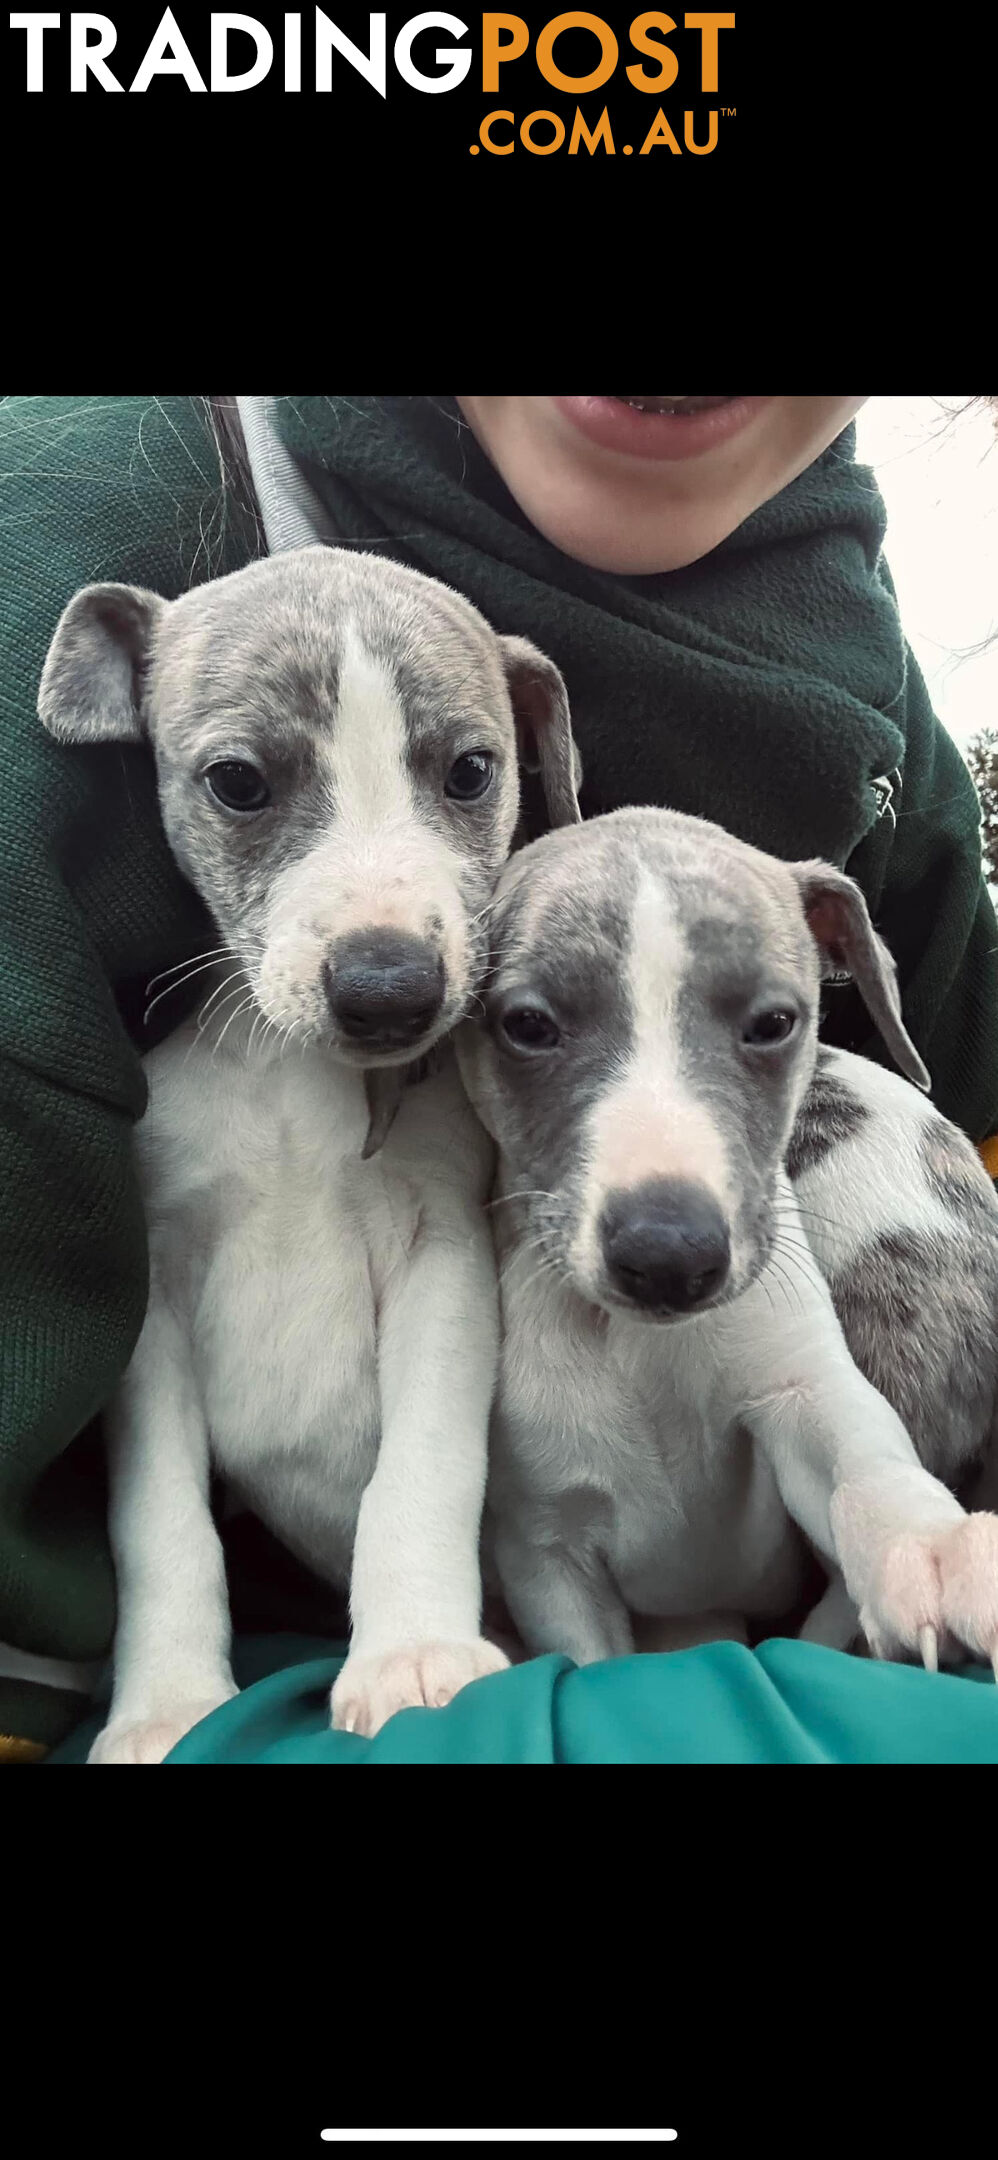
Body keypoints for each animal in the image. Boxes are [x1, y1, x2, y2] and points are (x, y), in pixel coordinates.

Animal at [38, 544, 578, 1753]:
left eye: (471, 771)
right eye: (239, 782)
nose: (389, 989)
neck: (290, 1078)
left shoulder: (439, 1262)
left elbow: (420, 1468)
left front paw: (413, 1651)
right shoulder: (157, 1302)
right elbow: (162, 1524)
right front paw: (168, 1706)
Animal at [457, 812, 998, 1667]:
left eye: (774, 1023)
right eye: (528, 1025)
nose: (669, 1255)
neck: (638, 1349)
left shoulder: (799, 1390)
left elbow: (861, 1460)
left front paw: (929, 1547)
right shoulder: (546, 1553)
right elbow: (589, 1659)